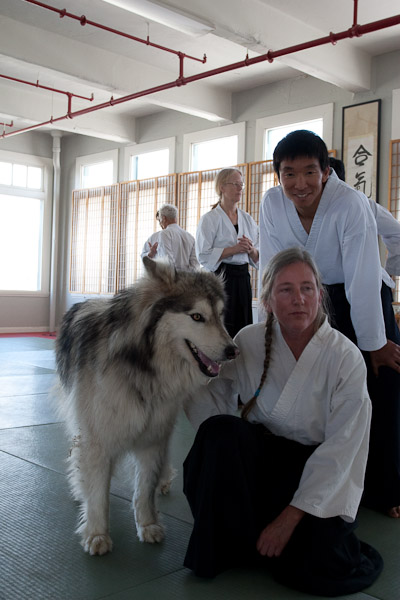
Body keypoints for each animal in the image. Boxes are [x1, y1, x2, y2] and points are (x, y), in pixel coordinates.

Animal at [56, 257, 238, 556]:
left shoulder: (153, 436)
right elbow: (97, 491)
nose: (233, 351)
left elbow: (144, 489)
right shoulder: (98, 438)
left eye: (220, 316)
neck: (144, 366)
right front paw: (97, 533)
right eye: (197, 317)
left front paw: (148, 524)